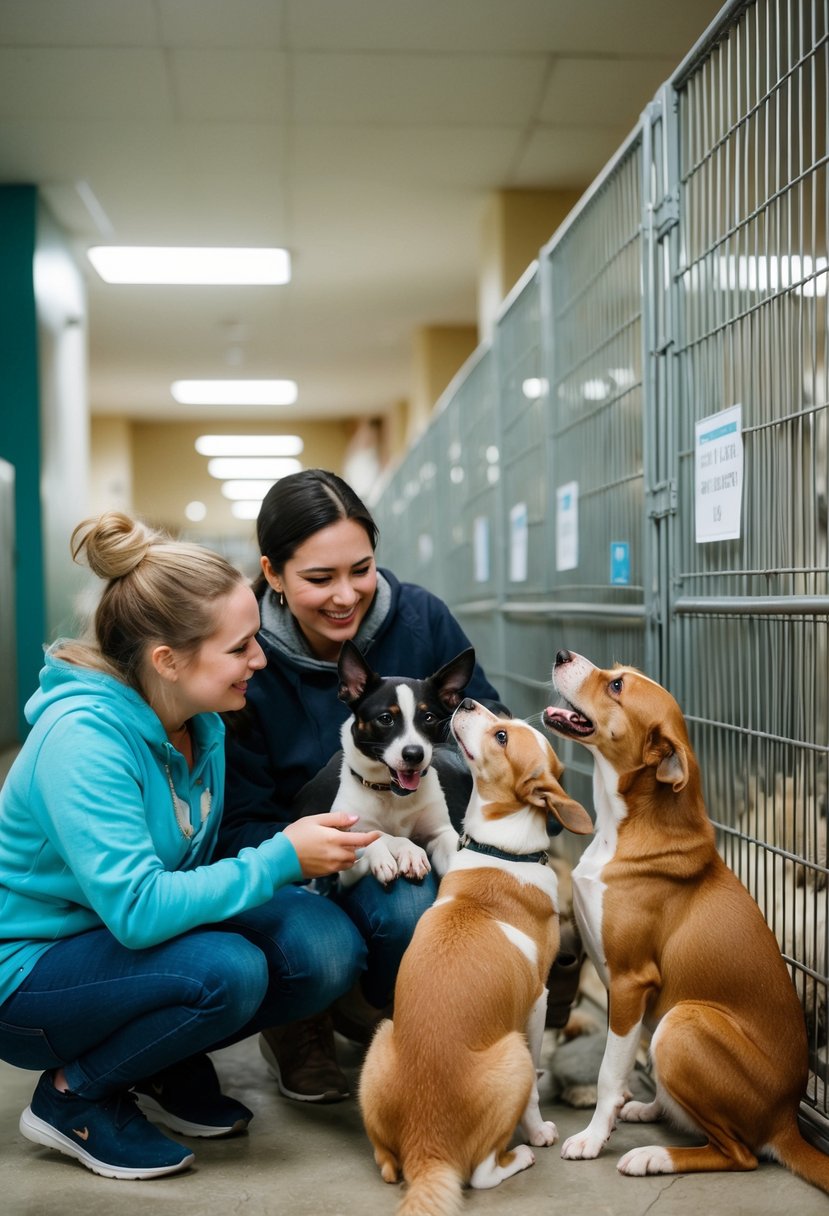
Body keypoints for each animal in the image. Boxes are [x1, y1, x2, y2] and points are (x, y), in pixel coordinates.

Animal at [357, 700, 590, 1211]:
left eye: (502, 735)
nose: (466, 702)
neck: (502, 851)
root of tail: (426, 1148)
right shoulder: (538, 1002)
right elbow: (534, 1094)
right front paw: (538, 1131)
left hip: (381, 1039)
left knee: (385, 1164)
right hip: (514, 1055)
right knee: (481, 1174)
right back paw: (520, 1155)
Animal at [542, 651, 826, 1191]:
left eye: (616, 686)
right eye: (617, 672)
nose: (562, 655)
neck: (623, 828)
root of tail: (785, 1121)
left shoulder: (630, 981)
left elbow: (609, 1072)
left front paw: (592, 1139)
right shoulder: (618, 990)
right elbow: (620, 1060)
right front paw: (616, 1112)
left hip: (681, 1022)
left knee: (740, 1154)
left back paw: (653, 1156)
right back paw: (650, 1109)